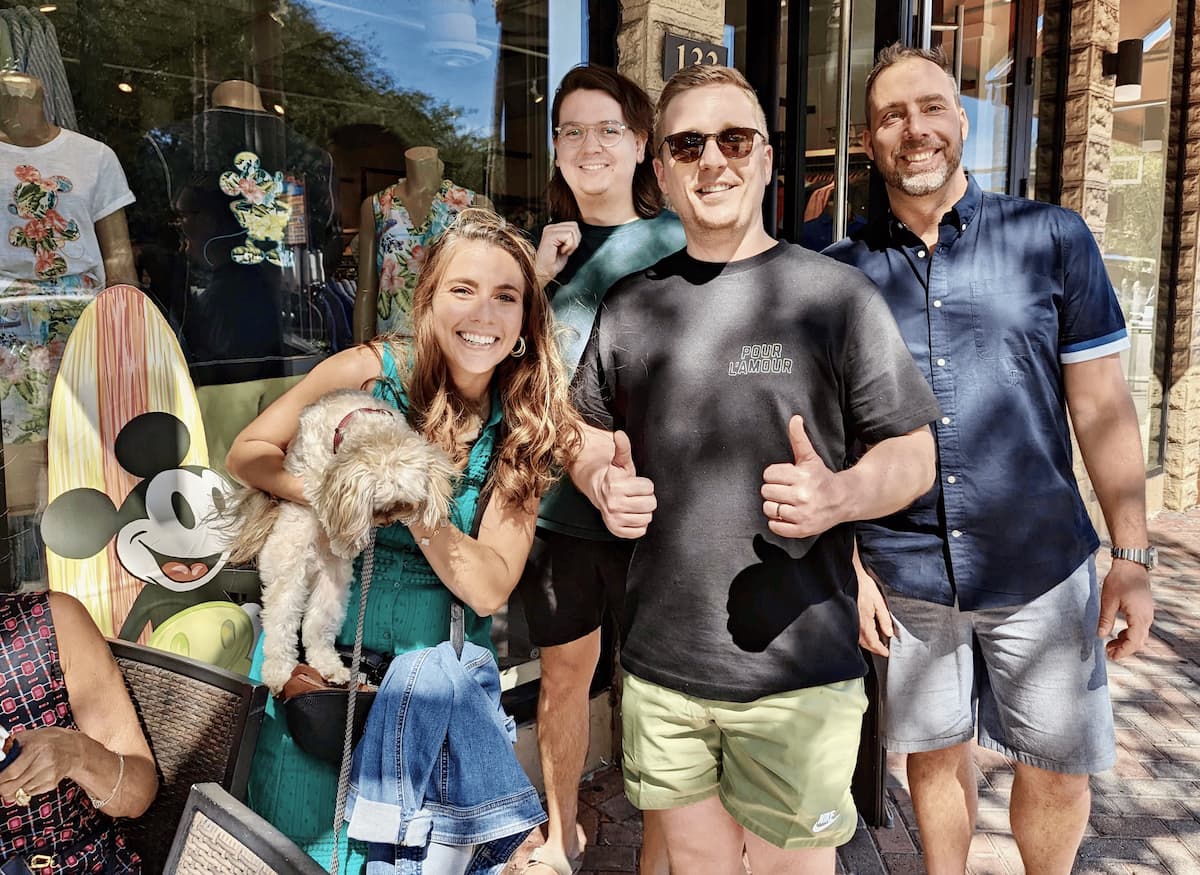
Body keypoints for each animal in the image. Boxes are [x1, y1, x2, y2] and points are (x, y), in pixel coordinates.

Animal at [226, 389, 457, 695]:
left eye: (402, 506)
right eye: (379, 509)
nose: (385, 524)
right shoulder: (318, 468)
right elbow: (320, 491)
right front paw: (343, 532)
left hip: (331, 589)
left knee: (315, 629)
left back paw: (329, 668)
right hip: (288, 572)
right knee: (281, 625)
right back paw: (278, 673)